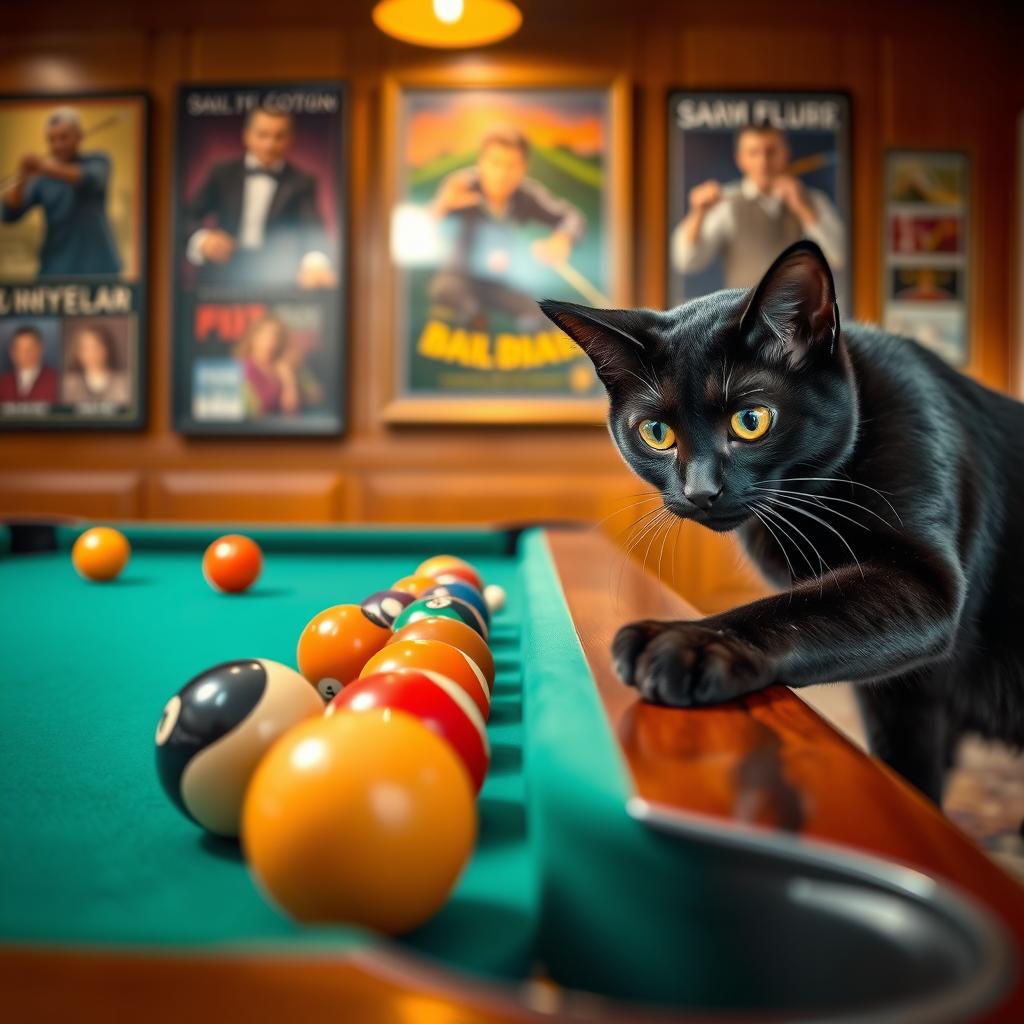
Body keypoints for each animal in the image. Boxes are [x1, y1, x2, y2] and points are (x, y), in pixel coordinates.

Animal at [540, 241, 1019, 806]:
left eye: (751, 421)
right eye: (656, 433)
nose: (700, 491)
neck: (810, 508)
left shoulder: (924, 580)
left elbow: (796, 608)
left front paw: (690, 642)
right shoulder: (903, 693)